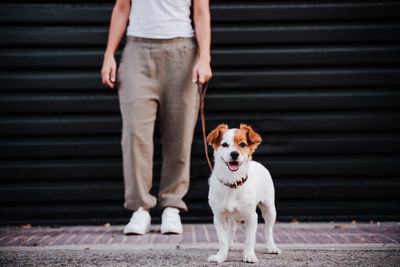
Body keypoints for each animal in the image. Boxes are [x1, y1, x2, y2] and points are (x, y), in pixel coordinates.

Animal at [206, 124, 282, 264]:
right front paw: (221, 256)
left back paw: (271, 247)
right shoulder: (219, 216)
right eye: (224, 145)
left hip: (269, 209)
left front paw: (249, 255)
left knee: (268, 230)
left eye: (242, 144)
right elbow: (222, 239)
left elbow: (250, 240)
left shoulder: (251, 217)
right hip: (231, 217)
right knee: (231, 230)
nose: (234, 154)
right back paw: (230, 245)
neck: (232, 181)